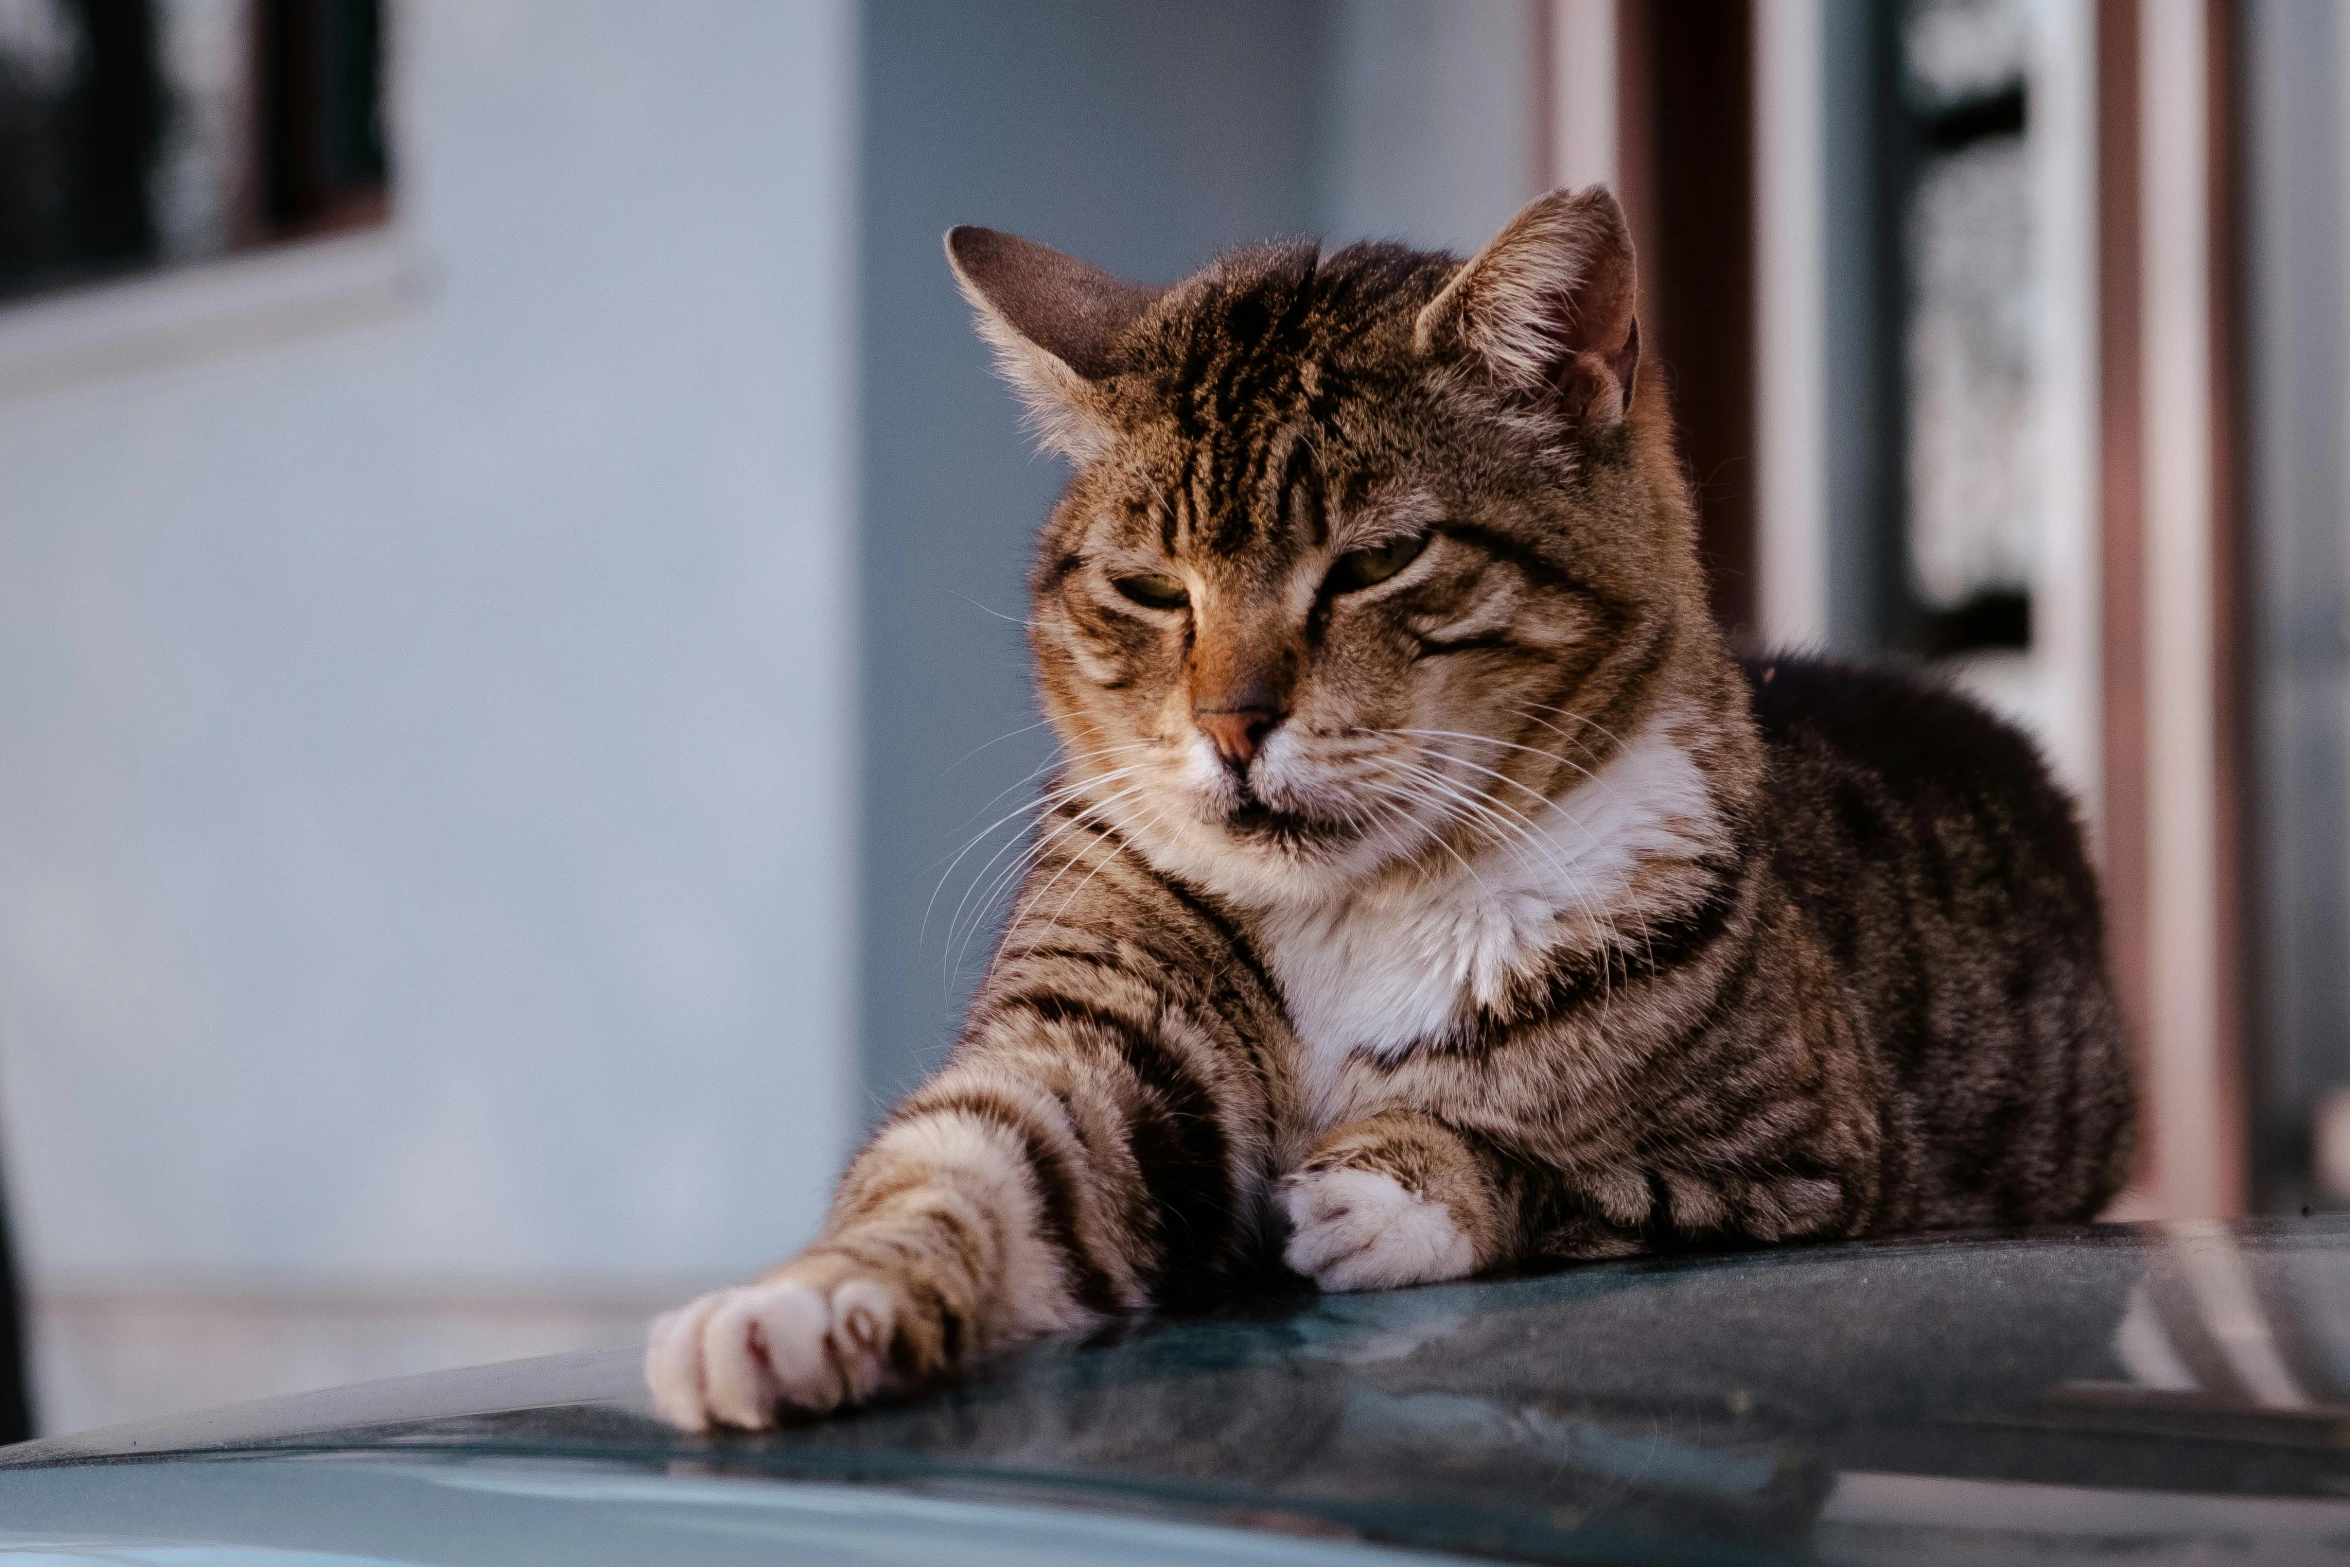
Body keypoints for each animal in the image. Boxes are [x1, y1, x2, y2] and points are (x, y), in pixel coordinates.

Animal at [639, 186, 2133, 1437]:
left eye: (1376, 560)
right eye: (1149, 587)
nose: (1231, 723)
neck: (1352, 906)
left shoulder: (1801, 1154)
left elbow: (1577, 1173)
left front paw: (1392, 1183)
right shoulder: (1089, 1041)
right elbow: (964, 1160)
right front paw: (794, 1309)